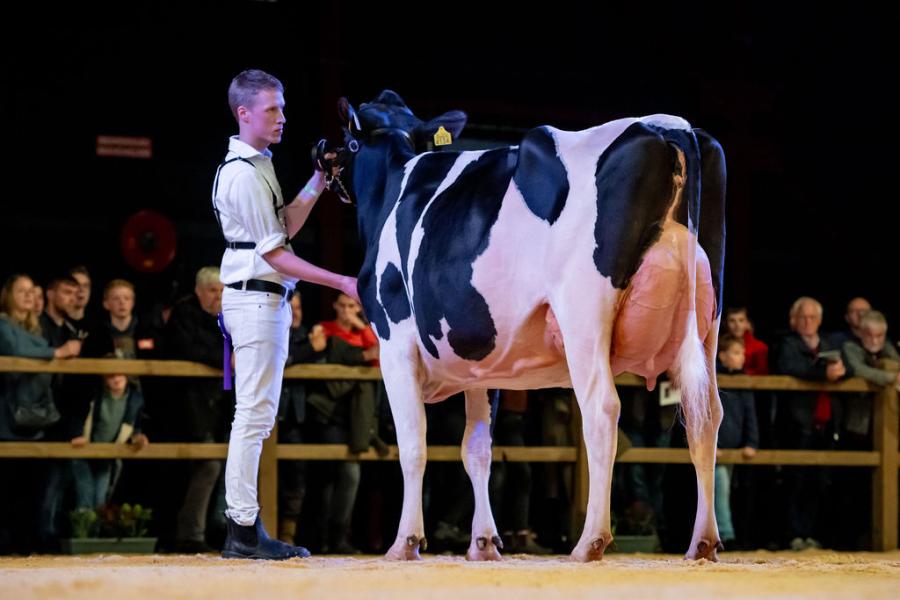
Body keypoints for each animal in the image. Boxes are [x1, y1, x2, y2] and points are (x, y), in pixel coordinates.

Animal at [336, 90, 724, 564]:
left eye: (345, 136)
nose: (320, 152)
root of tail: (670, 126)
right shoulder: (480, 366)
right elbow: (476, 449)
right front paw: (483, 543)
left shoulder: (395, 342)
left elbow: (413, 445)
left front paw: (405, 541)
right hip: (708, 319)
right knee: (706, 416)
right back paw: (702, 542)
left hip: (583, 314)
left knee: (602, 410)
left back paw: (589, 541)